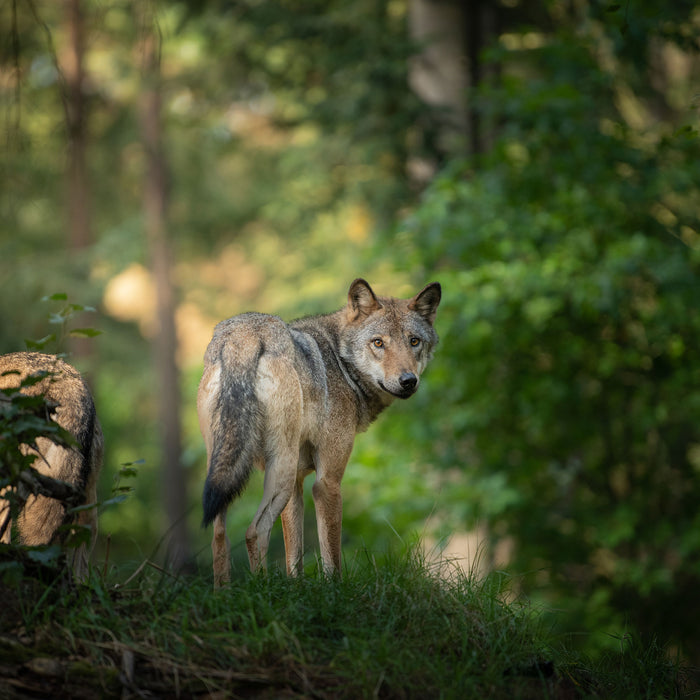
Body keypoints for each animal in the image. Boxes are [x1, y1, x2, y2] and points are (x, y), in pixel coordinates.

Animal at [197, 276, 440, 584]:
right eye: (378, 343)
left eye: (414, 341)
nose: (408, 381)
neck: (340, 362)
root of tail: (244, 335)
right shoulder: (327, 482)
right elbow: (331, 556)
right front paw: (334, 590)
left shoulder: (298, 484)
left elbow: (294, 557)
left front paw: (295, 588)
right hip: (281, 471)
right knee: (254, 532)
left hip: (227, 471)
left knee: (219, 536)